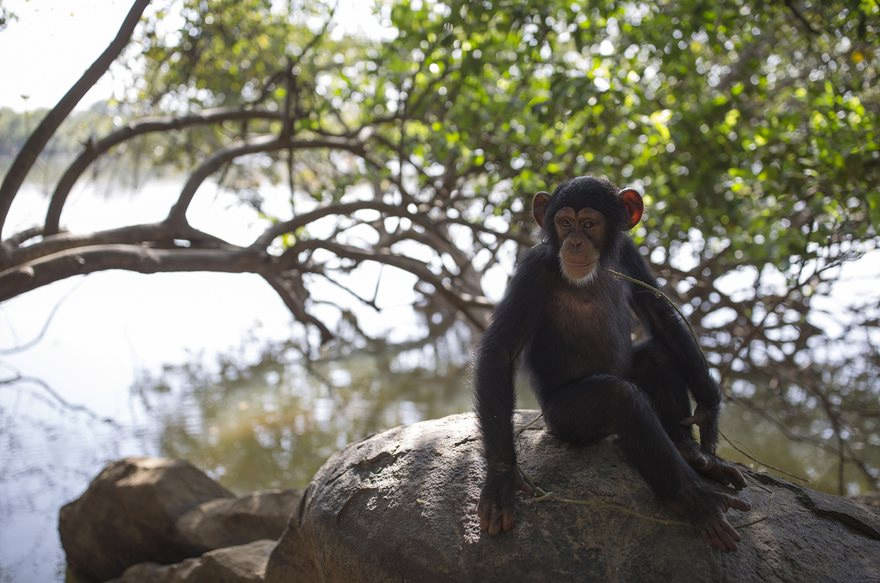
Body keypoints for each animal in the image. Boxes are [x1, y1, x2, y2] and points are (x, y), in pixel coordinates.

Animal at [474, 175, 748, 552]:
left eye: (589, 224)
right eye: (564, 222)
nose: (574, 242)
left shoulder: (630, 252)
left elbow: (658, 311)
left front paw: (708, 410)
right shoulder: (533, 270)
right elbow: (501, 350)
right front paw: (501, 481)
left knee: (657, 356)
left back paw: (692, 453)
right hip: (562, 420)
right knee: (620, 397)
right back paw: (697, 502)